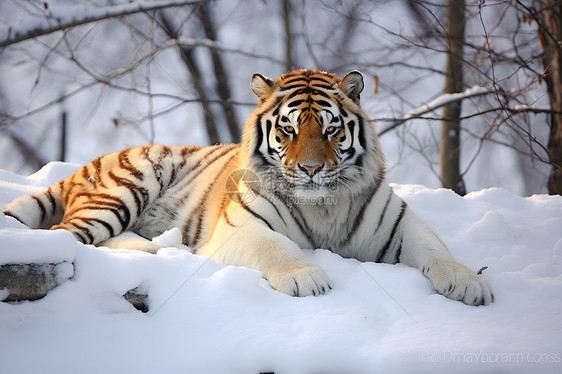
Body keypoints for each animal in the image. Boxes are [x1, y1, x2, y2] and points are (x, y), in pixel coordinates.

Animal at [2, 69, 490, 304]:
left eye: (330, 129)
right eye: (289, 130)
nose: (311, 169)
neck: (322, 205)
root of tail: (87, 164)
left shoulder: (400, 225)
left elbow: (438, 252)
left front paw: (470, 285)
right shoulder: (240, 227)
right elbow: (276, 247)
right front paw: (307, 278)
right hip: (128, 185)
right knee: (66, 237)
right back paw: (153, 248)